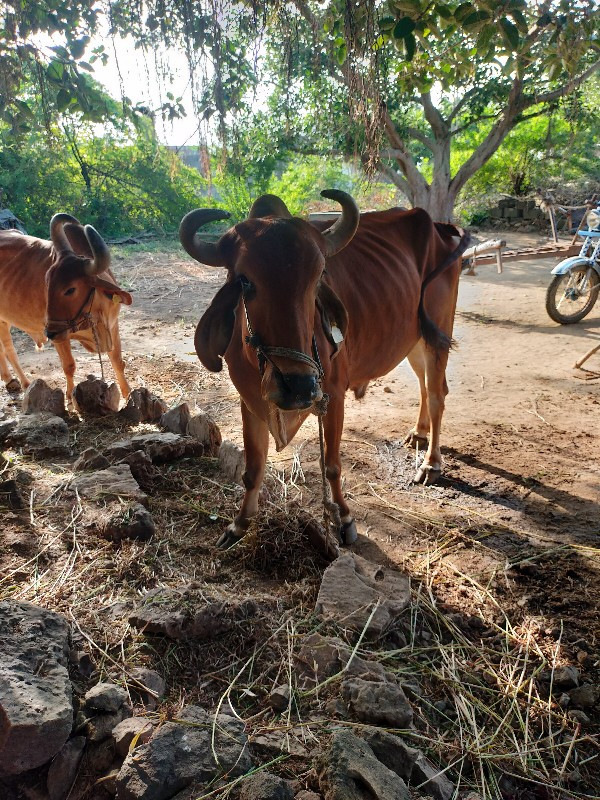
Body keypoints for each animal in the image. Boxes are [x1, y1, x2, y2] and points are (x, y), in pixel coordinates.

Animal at [0, 214, 132, 398]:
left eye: (70, 289)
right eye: (46, 283)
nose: (49, 333)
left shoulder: (113, 326)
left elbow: (118, 362)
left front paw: (128, 393)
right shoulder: (61, 335)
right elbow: (69, 366)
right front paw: (69, 396)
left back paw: (11, 380)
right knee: (9, 350)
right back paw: (23, 382)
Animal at [180, 190, 472, 548]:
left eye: (319, 276)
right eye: (244, 281)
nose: (298, 387)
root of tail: (440, 227)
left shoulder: (332, 396)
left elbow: (331, 465)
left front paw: (343, 519)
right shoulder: (249, 401)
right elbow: (253, 468)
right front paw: (239, 524)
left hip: (437, 334)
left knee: (437, 393)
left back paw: (431, 464)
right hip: (413, 339)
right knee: (424, 384)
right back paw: (418, 433)